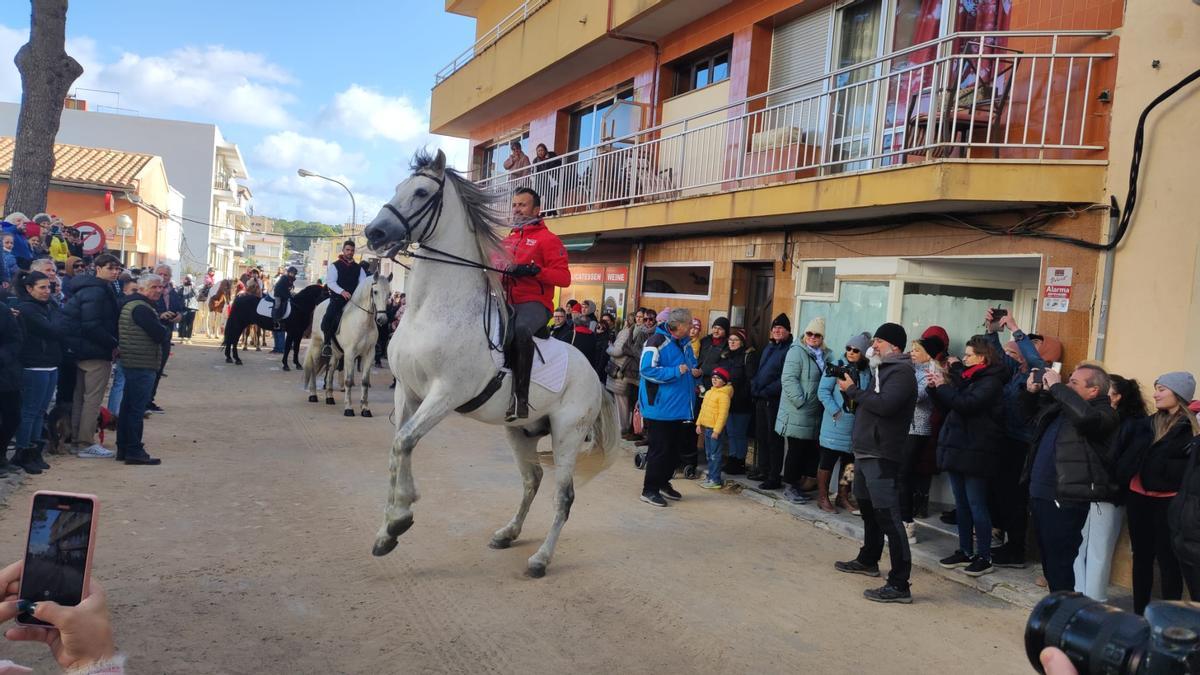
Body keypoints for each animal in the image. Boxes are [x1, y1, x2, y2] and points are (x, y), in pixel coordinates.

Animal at [302, 267, 391, 415]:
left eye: (389, 294)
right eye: (375, 292)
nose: (382, 319)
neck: (363, 322)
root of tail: (320, 305)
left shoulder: (369, 354)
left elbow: (365, 381)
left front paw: (365, 409)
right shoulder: (350, 354)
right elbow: (348, 381)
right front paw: (349, 408)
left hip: (335, 353)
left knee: (330, 370)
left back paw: (329, 397)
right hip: (317, 344)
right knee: (314, 367)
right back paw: (313, 395)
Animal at [360, 149, 619, 576]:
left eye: (420, 192)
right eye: (398, 187)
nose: (374, 233)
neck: (430, 311)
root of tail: (596, 377)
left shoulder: (445, 394)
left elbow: (404, 442)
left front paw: (398, 519)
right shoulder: (409, 391)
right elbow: (398, 447)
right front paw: (388, 529)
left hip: (566, 434)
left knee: (563, 497)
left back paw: (540, 559)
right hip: (521, 430)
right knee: (532, 480)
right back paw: (507, 533)